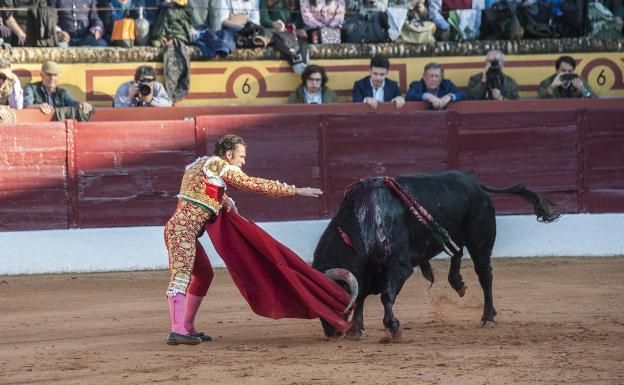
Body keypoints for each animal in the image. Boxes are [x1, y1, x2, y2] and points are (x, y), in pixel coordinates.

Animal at [314, 171, 564, 340]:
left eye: (334, 297)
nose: (330, 332)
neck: (365, 218)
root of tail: (474, 182)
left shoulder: (399, 267)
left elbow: (385, 296)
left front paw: (393, 327)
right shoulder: (367, 272)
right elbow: (362, 297)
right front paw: (356, 329)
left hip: (480, 241)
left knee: (485, 275)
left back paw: (487, 317)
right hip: (453, 234)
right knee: (456, 251)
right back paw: (459, 285)